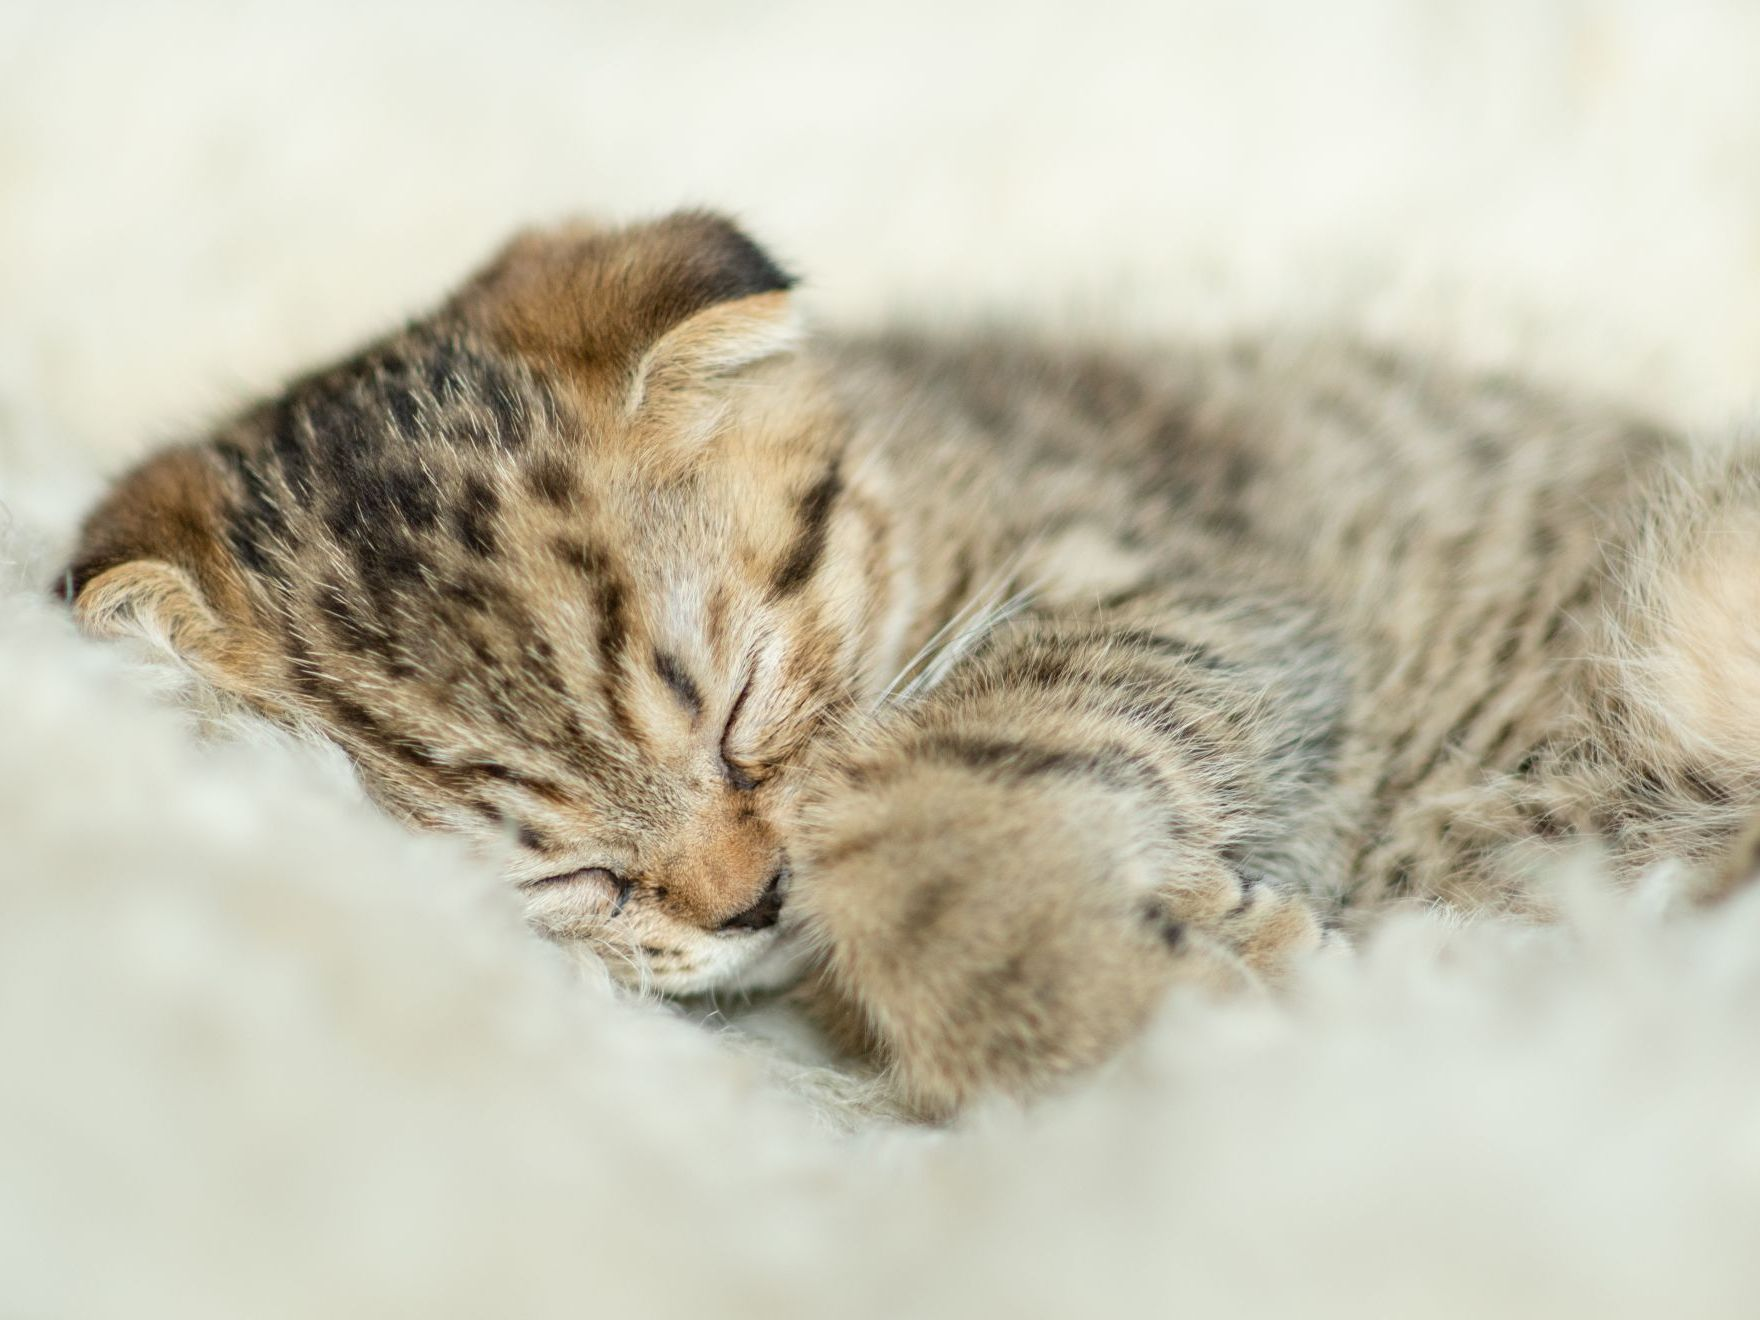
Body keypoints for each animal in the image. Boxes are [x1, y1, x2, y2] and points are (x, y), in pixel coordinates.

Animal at [58, 212, 1760, 1119]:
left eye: (741, 708)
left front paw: (1131, 1005)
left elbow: (929, 810)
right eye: (563, 878)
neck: (935, 460)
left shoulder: (1206, 587)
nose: (748, 901)